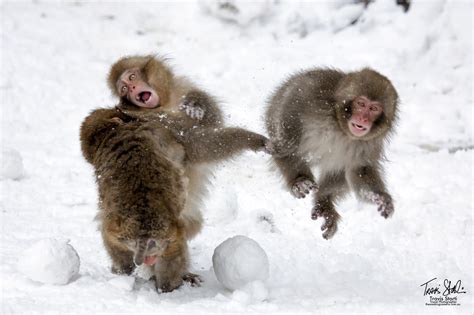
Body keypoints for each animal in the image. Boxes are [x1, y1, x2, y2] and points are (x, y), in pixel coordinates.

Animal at [264, 67, 398, 239]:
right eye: (361, 104)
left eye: (374, 108)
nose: (363, 118)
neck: (342, 128)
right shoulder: (317, 97)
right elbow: (296, 97)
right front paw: (290, 155)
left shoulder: (369, 143)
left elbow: (360, 169)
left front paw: (380, 197)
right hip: (273, 112)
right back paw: (297, 178)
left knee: (340, 166)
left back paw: (324, 200)